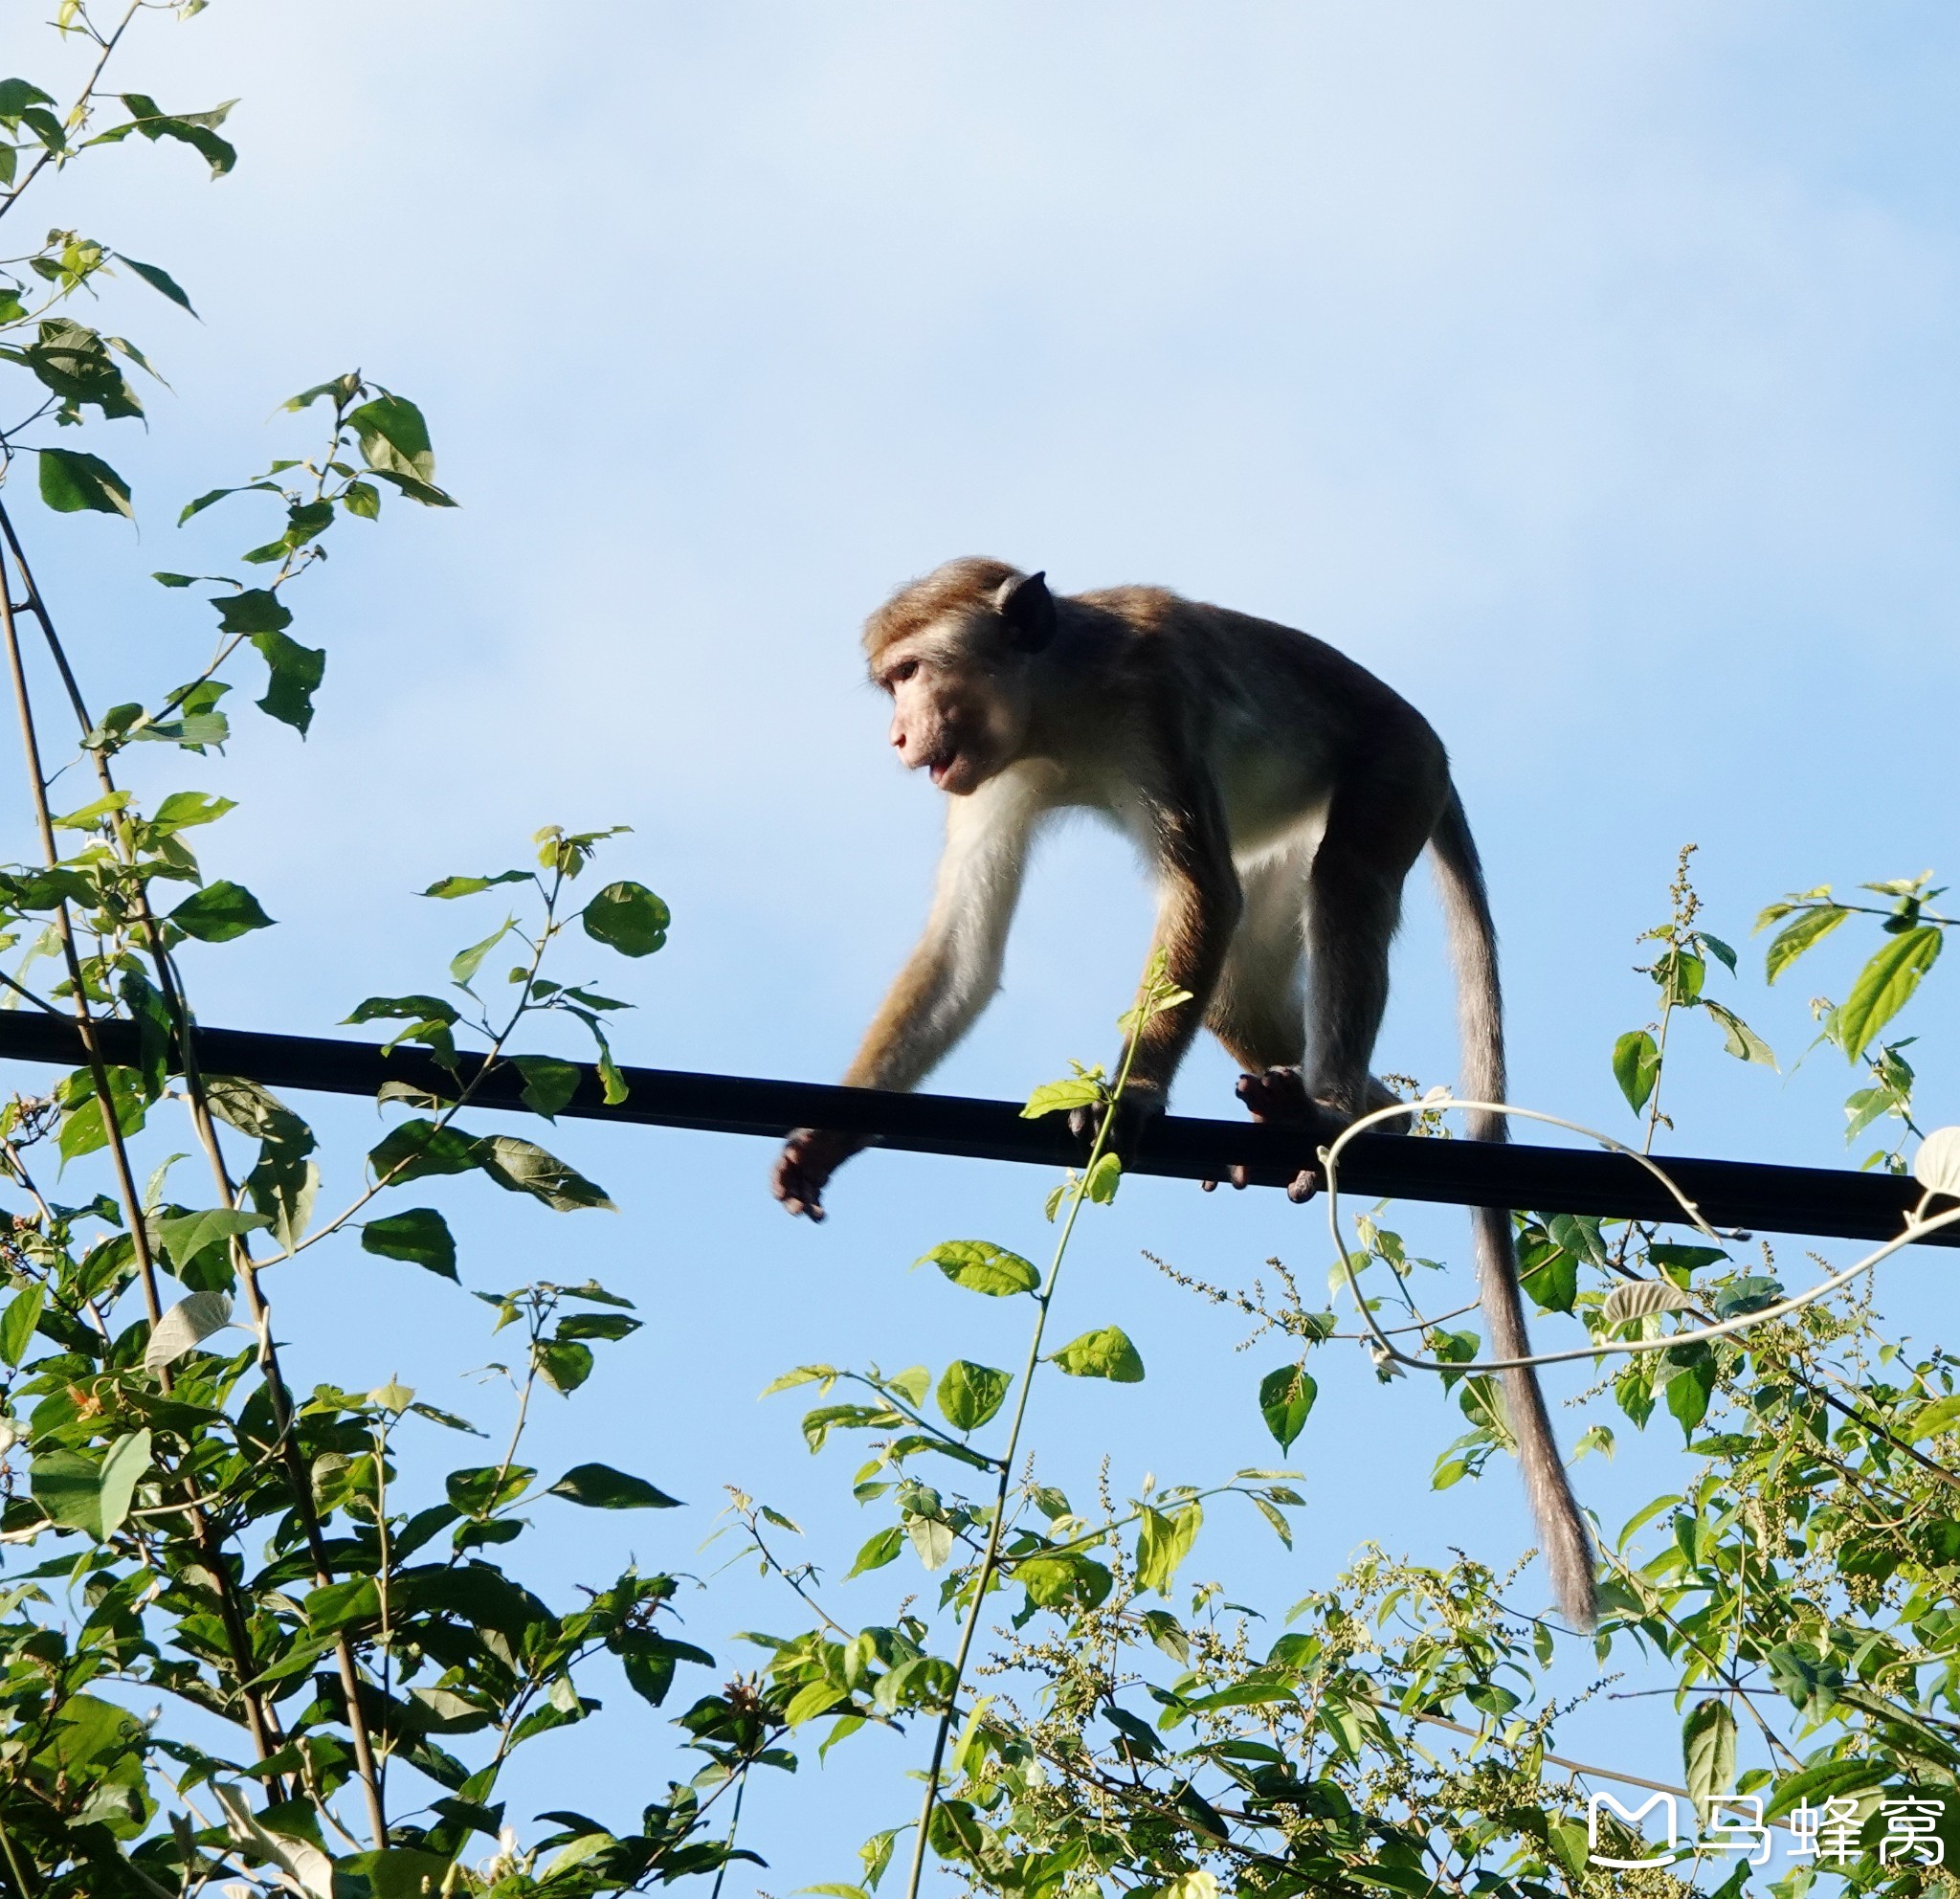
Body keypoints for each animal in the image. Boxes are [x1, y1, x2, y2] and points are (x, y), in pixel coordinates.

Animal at [771, 556, 1599, 1622]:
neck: (1055, 706)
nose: (898, 736)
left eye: (911, 672)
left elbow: (1200, 893)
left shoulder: (1149, 701)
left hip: (1397, 765)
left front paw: (1125, 1104)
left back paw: (1331, 1105)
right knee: (1243, 970)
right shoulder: (989, 779)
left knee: (1342, 877)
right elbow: (960, 956)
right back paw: (1369, 1119)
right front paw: (827, 1142)